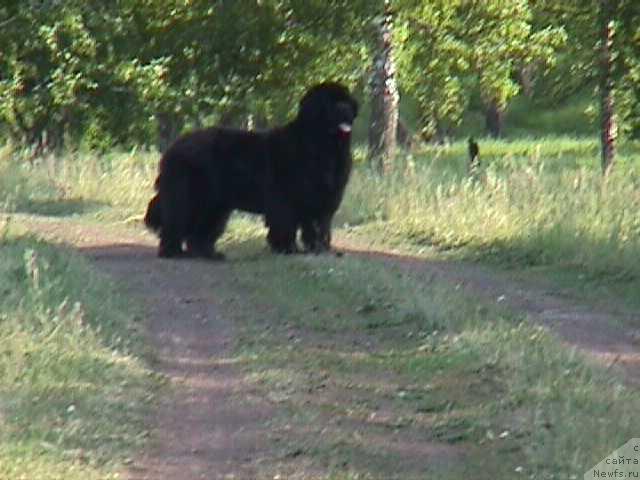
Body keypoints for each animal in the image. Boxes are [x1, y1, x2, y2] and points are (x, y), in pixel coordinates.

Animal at [142, 82, 358, 258]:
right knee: (176, 221)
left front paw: (320, 248)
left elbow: (320, 226)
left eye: (345, 100)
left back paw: (208, 254)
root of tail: (173, 147)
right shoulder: (287, 198)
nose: (346, 109)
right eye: (330, 103)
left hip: (214, 204)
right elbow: (287, 224)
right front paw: (288, 248)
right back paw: (172, 252)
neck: (320, 145)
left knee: (202, 230)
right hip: (189, 196)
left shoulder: (325, 199)